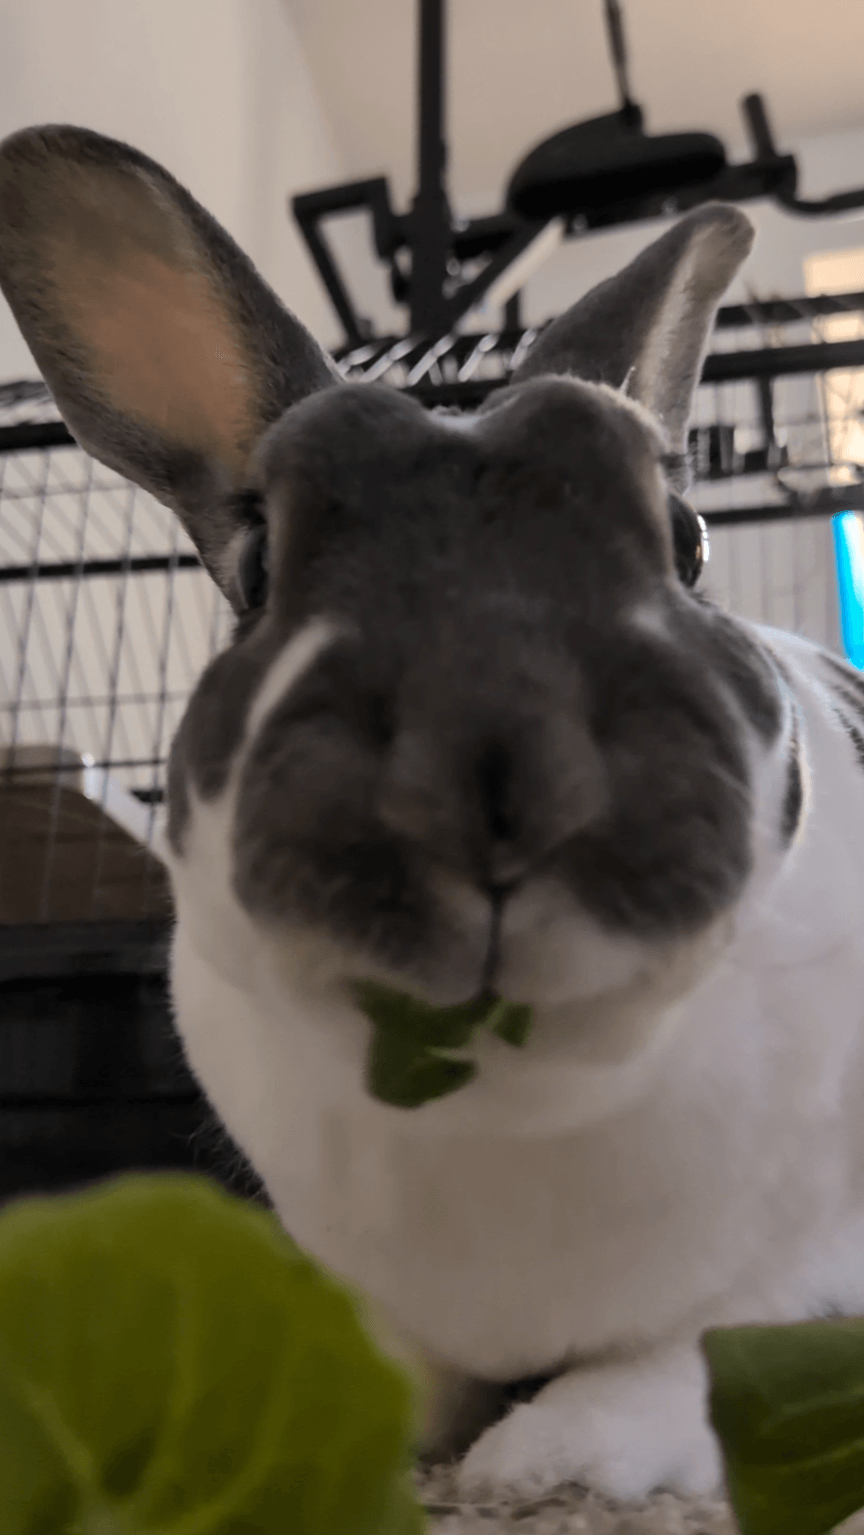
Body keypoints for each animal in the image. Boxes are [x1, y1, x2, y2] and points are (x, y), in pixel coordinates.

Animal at [4, 123, 864, 1506]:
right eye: (259, 566)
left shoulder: (806, 1260)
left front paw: (545, 1459)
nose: (499, 777)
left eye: (688, 542)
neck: (509, 1094)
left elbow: (693, 1355)